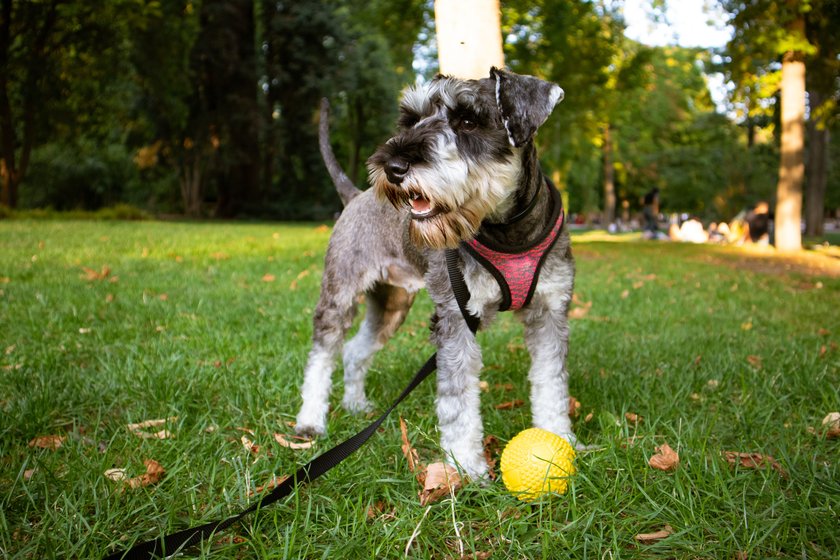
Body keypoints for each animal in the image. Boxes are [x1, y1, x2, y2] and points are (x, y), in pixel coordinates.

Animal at [296, 68, 576, 480]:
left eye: (468, 121)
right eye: (412, 119)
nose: (393, 168)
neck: (507, 230)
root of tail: (356, 195)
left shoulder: (550, 312)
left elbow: (550, 381)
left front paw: (560, 440)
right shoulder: (456, 317)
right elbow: (458, 401)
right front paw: (467, 467)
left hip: (391, 306)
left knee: (355, 350)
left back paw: (356, 404)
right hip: (339, 295)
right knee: (323, 354)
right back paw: (310, 421)